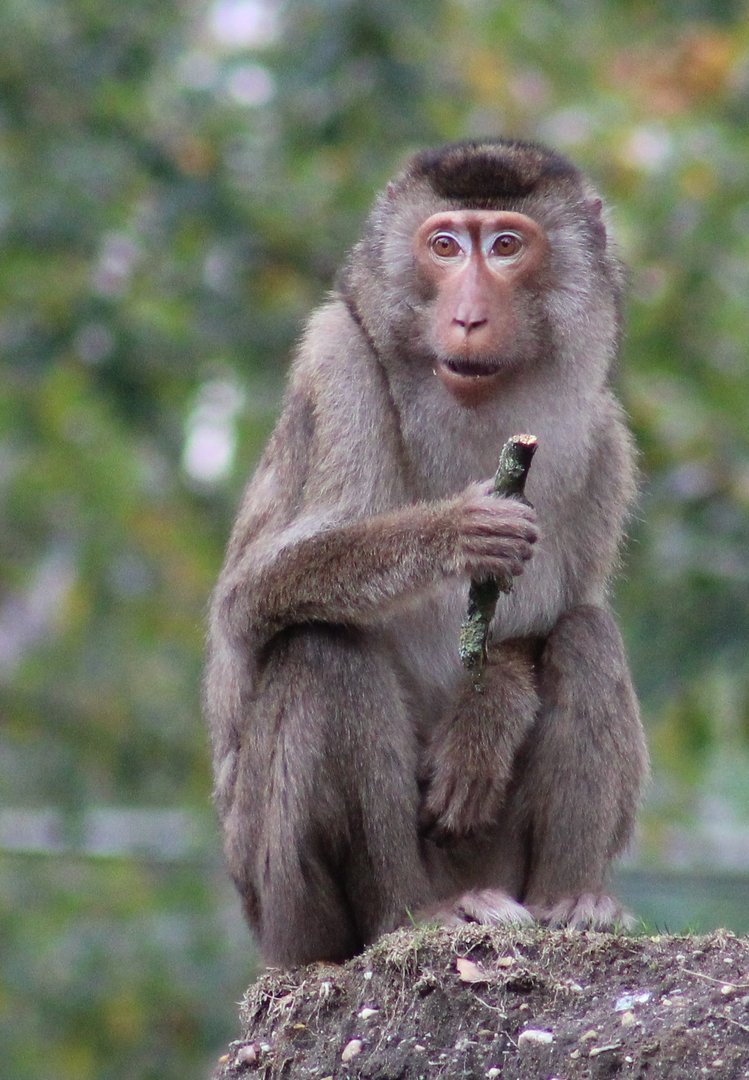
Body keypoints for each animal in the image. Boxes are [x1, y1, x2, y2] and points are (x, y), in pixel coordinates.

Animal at [204, 138, 649, 968]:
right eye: (444, 247)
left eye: (504, 246)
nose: (468, 316)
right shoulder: (336, 359)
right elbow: (249, 599)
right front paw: (458, 529)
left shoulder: (605, 440)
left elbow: (556, 620)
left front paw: (488, 713)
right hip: (284, 905)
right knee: (319, 650)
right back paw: (413, 917)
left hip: (498, 860)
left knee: (587, 634)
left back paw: (572, 901)